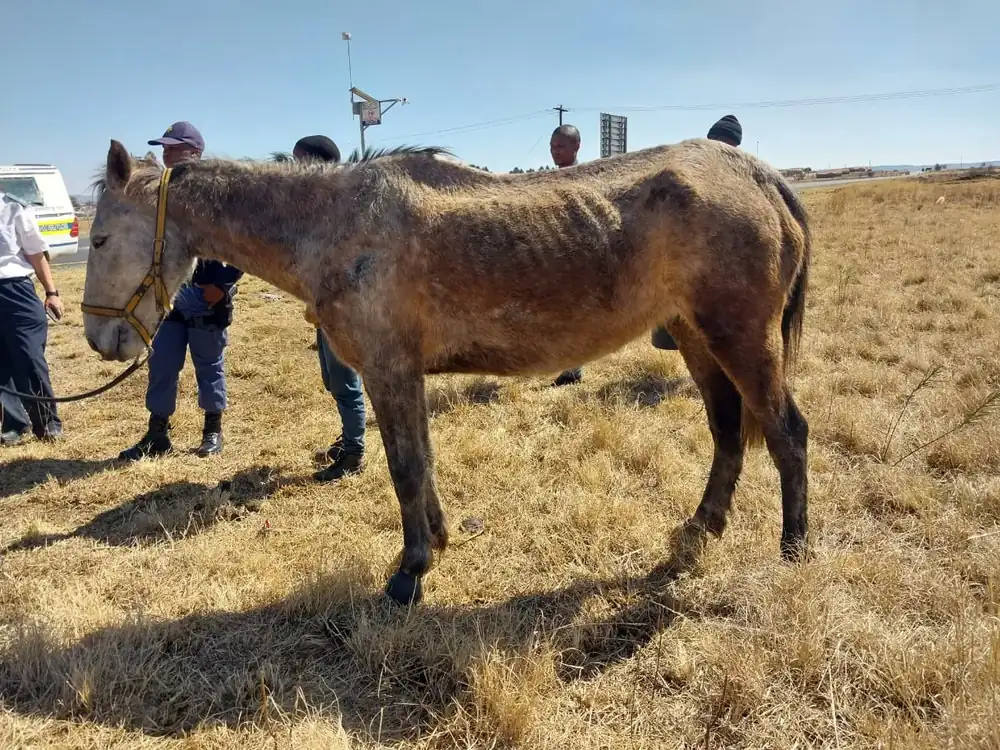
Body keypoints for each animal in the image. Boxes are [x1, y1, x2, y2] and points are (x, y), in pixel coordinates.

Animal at [82, 137, 812, 606]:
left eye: (97, 237)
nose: (98, 338)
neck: (334, 224)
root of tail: (758, 174)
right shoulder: (404, 375)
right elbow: (423, 465)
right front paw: (436, 538)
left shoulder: (388, 370)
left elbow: (405, 468)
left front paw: (409, 573)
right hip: (696, 337)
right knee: (727, 432)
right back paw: (702, 527)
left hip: (741, 338)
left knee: (786, 433)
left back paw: (793, 547)